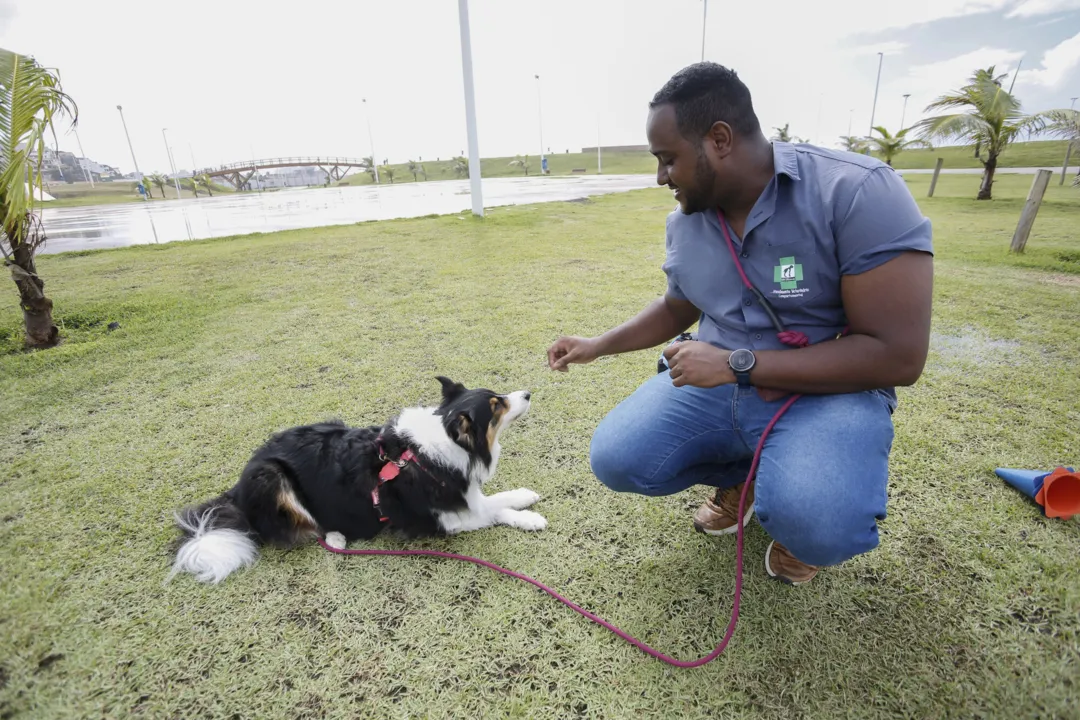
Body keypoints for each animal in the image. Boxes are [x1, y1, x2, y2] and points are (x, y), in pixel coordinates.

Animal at [167, 377, 544, 587]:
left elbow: (492, 500)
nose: (528, 393)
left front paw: (524, 497)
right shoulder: (440, 519)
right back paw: (336, 537)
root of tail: (236, 491)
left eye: (500, 397)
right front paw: (530, 517)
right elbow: (491, 510)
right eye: (496, 406)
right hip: (272, 477)